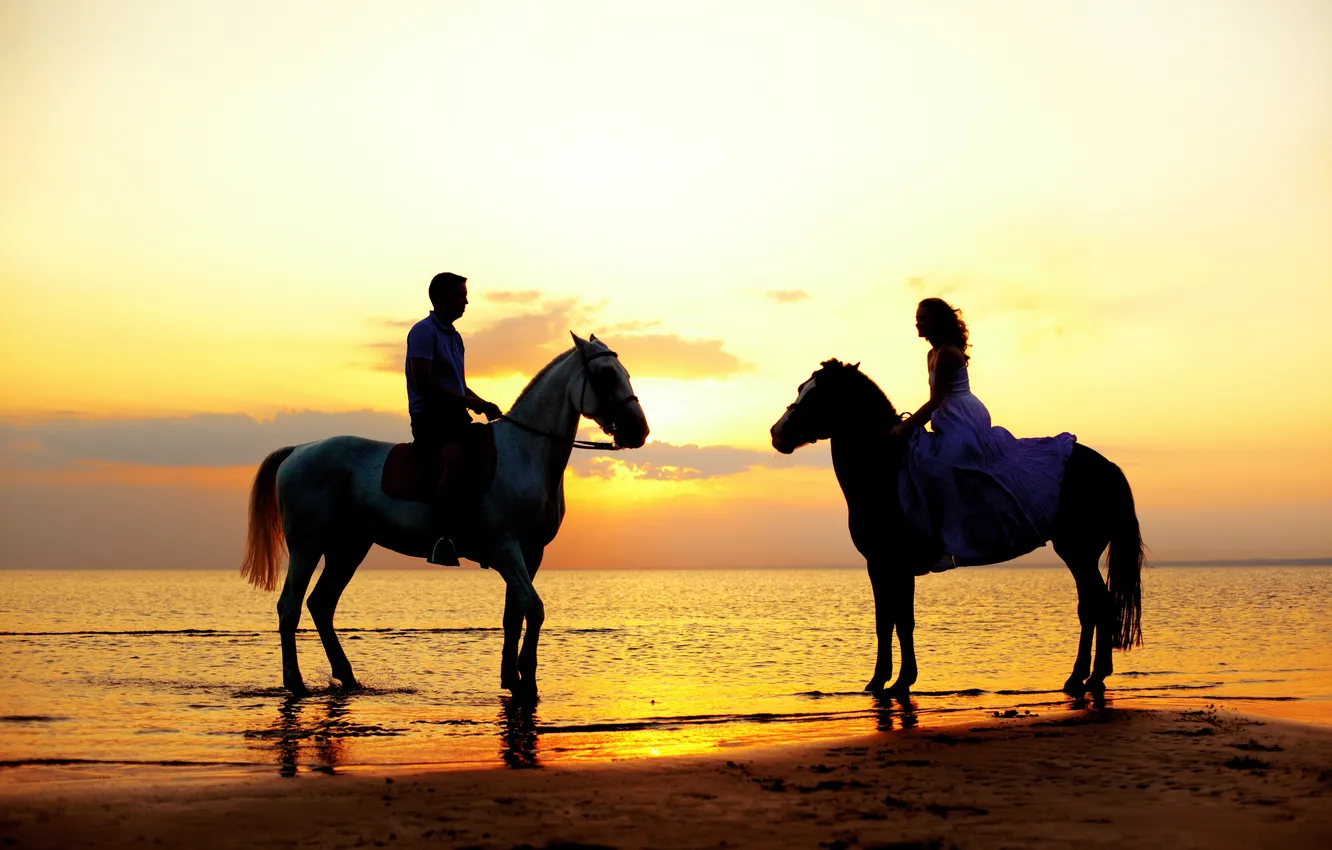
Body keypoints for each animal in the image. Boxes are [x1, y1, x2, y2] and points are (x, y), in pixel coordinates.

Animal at [240, 333, 648, 700]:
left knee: (321, 604)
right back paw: (295, 683)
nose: (639, 431)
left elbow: (514, 614)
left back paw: (348, 678)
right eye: (606, 375)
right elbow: (534, 608)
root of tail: (298, 450)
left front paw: (512, 679)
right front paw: (527, 683)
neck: (526, 453)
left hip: (349, 548)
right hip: (307, 546)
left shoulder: (531, 552)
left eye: (626, 373)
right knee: (290, 607)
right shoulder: (505, 546)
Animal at [769, 359, 1143, 697]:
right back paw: (1083, 678)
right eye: (802, 388)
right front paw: (890, 681)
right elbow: (893, 620)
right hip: (1081, 555)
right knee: (1092, 608)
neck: (885, 469)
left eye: (818, 394)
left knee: (1098, 606)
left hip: (1077, 552)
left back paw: (1091, 677)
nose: (776, 433)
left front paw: (890, 682)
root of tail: (1108, 467)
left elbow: (894, 621)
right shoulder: (889, 567)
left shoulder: (886, 564)